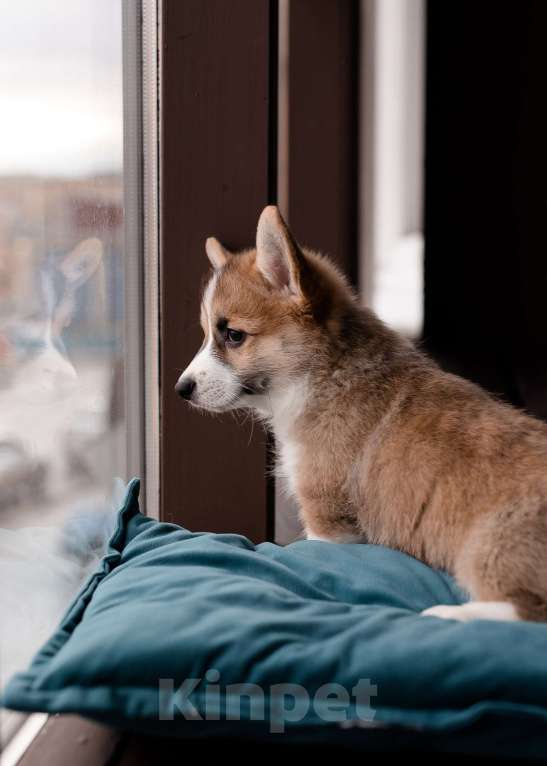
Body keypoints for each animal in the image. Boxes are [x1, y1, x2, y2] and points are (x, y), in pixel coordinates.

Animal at [177, 206, 547, 624]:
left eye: (234, 336)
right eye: (207, 333)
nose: (181, 389)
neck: (322, 373)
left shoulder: (327, 523)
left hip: (487, 547)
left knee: (526, 611)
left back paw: (446, 614)